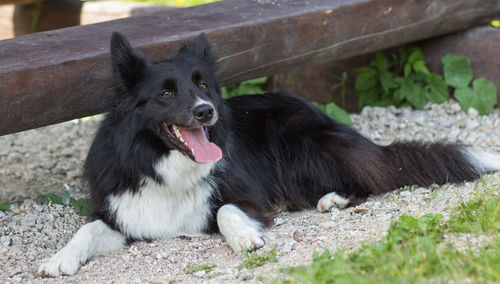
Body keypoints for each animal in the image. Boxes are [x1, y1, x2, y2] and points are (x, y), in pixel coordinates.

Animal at [39, 32, 500, 276]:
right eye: (165, 93)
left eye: (202, 85)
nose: (206, 112)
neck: (165, 164)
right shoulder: (122, 210)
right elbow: (86, 230)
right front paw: (58, 259)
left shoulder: (247, 194)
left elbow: (227, 211)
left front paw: (247, 237)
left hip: (302, 147)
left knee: (373, 175)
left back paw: (333, 198)